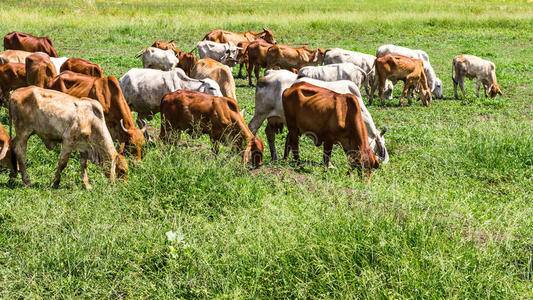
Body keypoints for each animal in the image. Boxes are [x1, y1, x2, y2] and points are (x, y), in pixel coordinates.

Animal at [247, 69, 388, 164]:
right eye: (381, 148)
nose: (383, 161)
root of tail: (269, 73)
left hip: (273, 117)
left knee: (269, 133)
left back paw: (275, 156)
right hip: (260, 113)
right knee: (252, 128)